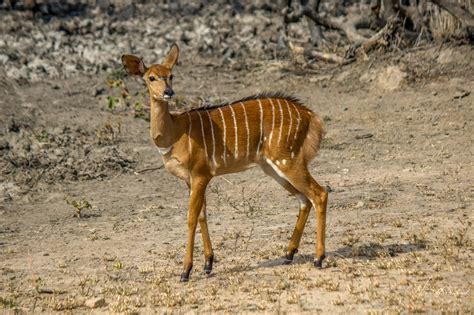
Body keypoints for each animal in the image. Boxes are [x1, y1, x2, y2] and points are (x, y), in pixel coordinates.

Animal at [122, 43, 328, 282]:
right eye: (151, 77)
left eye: (171, 75)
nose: (168, 92)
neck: (174, 132)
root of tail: (310, 115)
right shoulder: (189, 179)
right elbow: (202, 215)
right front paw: (207, 265)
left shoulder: (201, 174)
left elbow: (191, 217)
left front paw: (186, 271)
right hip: (273, 167)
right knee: (304, 199)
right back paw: (288, 254)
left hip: (287, 160)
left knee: (319, 193)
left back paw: (318, 258)